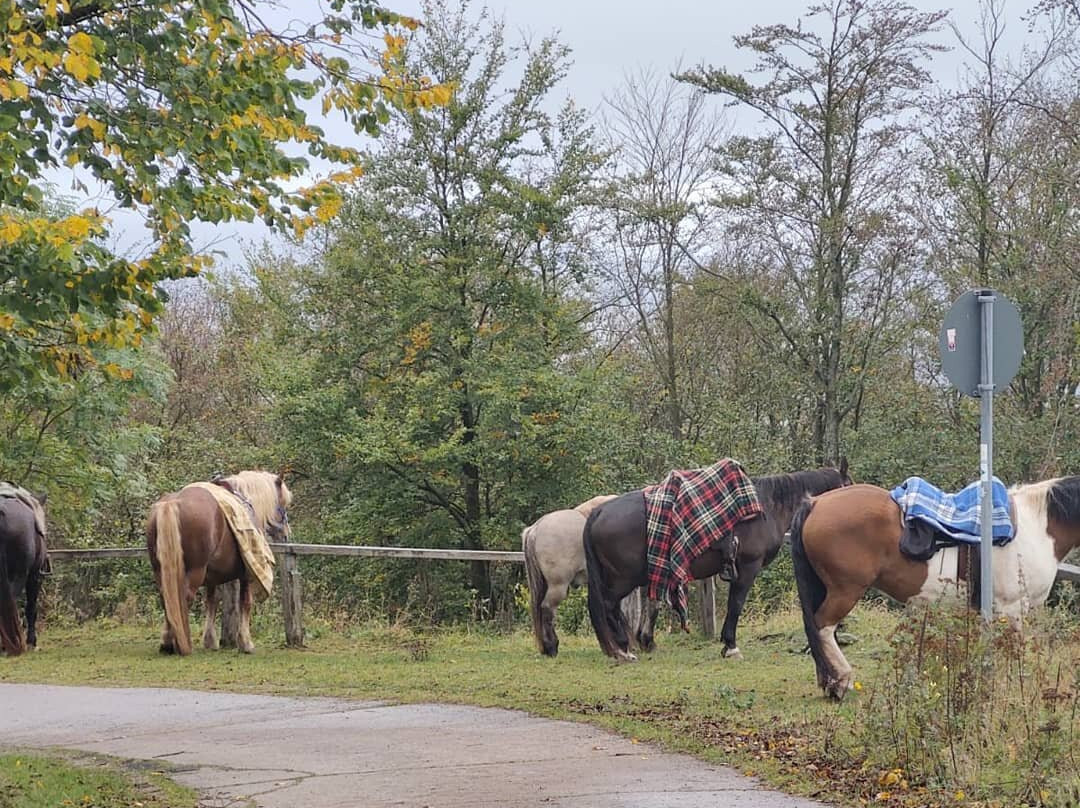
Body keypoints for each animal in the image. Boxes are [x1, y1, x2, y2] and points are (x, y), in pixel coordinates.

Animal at [149, 466, 291, 656]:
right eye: (283, 504)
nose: (286, 534)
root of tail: (172, 503)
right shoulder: (247, 573)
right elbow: (245, 603)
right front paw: (245, 642)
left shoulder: (211, 578)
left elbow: (212, 602)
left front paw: (210, 640)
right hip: (195, 570)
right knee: (184, 597)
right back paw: (181, 643)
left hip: (160, 570)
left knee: (167, 597)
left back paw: (166, 643)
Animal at [583, 464, 851, 661]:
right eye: (848, 484)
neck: (766, 508)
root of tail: (599, 512)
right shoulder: (747, 567)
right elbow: (736, 604)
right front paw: (730, 646)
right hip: (623, 578)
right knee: (608, 605)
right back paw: (623, 648)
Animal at [790, 477, 1080, 695]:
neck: (1036, 529)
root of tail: (816, 503)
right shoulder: (1012, 608)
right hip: (845, 591)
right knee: (823, 627)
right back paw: (842, 680)